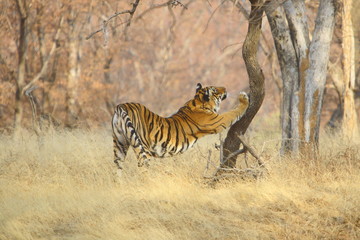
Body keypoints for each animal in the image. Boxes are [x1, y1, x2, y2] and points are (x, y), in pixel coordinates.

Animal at [111, 83, 249, 172]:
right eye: (215, 90)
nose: (225, 88)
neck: (197, 101)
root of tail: (122, 105)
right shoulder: (218, 121)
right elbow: (233, 112)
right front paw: (244, 98)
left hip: (119, 143)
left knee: (117, 168)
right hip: (142, 146)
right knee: (142, 165)